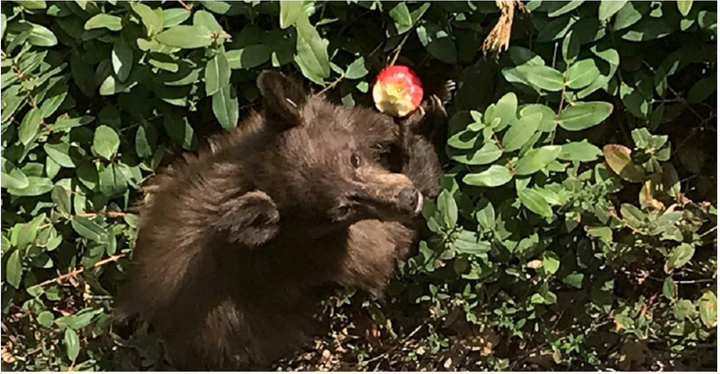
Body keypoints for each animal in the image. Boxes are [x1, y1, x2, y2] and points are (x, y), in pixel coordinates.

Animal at [115, 71, 448, 372]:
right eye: (340, 210)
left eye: (354, 158)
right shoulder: (329, 252)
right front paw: (419, 145)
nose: (408, 199)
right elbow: (388, 246)